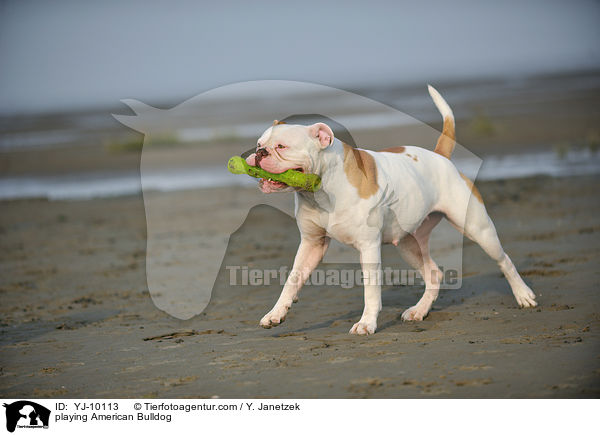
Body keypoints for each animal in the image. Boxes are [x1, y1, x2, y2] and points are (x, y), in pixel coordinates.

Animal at [246, 86, 536, 338]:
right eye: (260, 143)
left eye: (281, 147)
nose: (259, 152)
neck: (322, 188)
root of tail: (441, 156)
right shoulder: (311, 244)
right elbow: (292, 280)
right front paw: (276, 313)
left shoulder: (368, 247)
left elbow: (371, 291)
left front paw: (366, 324)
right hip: (409, 244)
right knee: (434, 273)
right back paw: (419, 310)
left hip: (478, 228)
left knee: (504, 260)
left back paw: (523, 295)